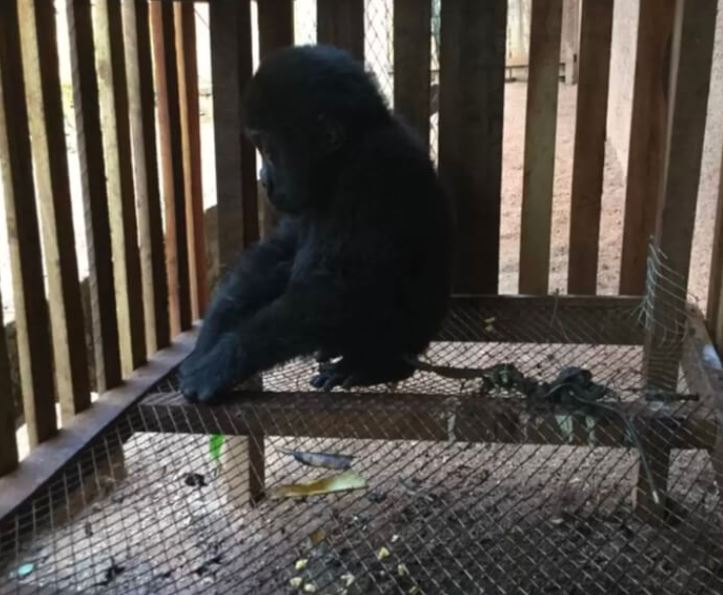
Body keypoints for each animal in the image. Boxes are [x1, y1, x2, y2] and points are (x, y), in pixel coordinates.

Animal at [180, 44, 452, 402]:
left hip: (406, 338)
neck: (343, 157)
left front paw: (223, 361)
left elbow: (337, 288)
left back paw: (375, 364)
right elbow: (279, 250)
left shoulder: (375, 172)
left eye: (269, 150)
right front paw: (212, 332)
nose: (264, 179)